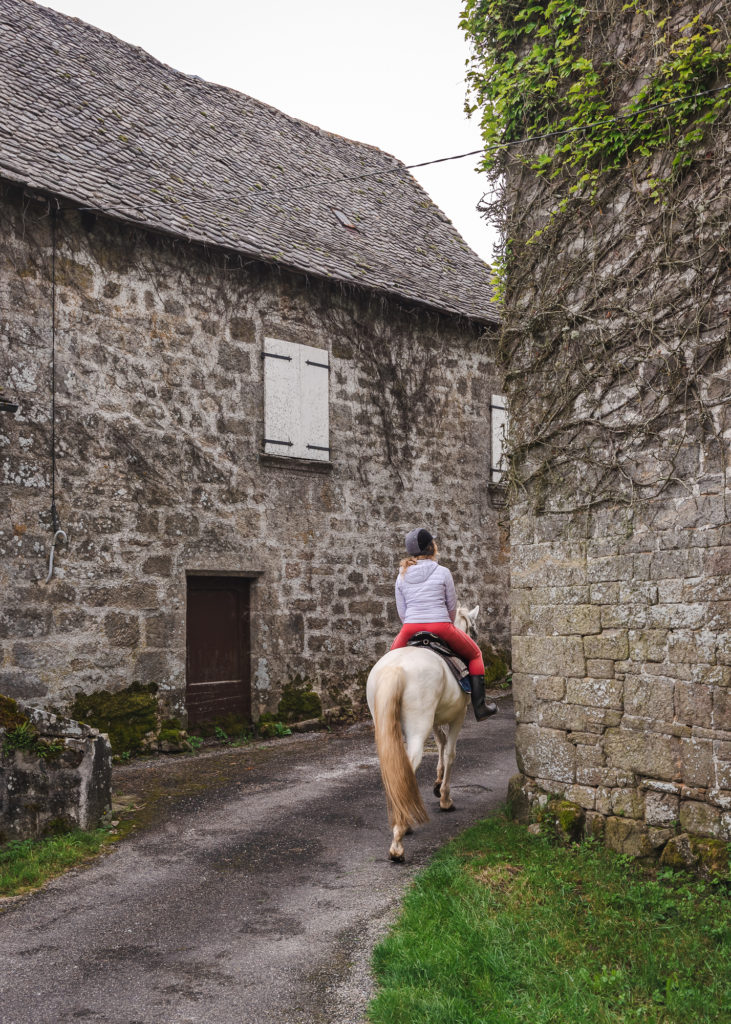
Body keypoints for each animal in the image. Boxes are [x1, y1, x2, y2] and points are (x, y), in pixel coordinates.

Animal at [366, 602, 481, 860]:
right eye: (473, 630)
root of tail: (396, 668)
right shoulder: (458, 716)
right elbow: (450, 752)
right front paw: (445, 797)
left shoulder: (436, 719)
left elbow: (440, 743)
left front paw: (437, 783)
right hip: (419, 727)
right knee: (407, 766)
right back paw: (399, 838)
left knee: (392, 767)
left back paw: (400, 822)